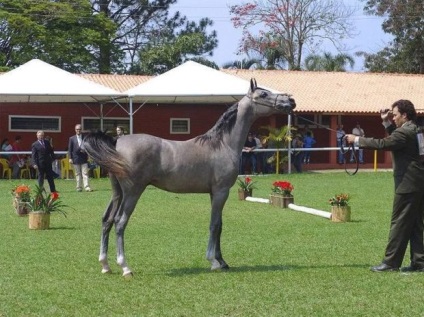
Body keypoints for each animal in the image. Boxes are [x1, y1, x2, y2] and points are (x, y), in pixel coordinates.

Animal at [82, 78, 294, 274]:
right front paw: (213, 261)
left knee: (107, 220)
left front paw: (222, 261)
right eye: (264, 94)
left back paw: (105, 265)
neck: (222, 144)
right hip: (132, 192)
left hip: (117, 192)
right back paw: (125, 267)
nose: (290, 101)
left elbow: (219, 225)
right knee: (119, 222)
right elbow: (214, 225)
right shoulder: (221, 191)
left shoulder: (215, 193)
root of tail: (116, 141)